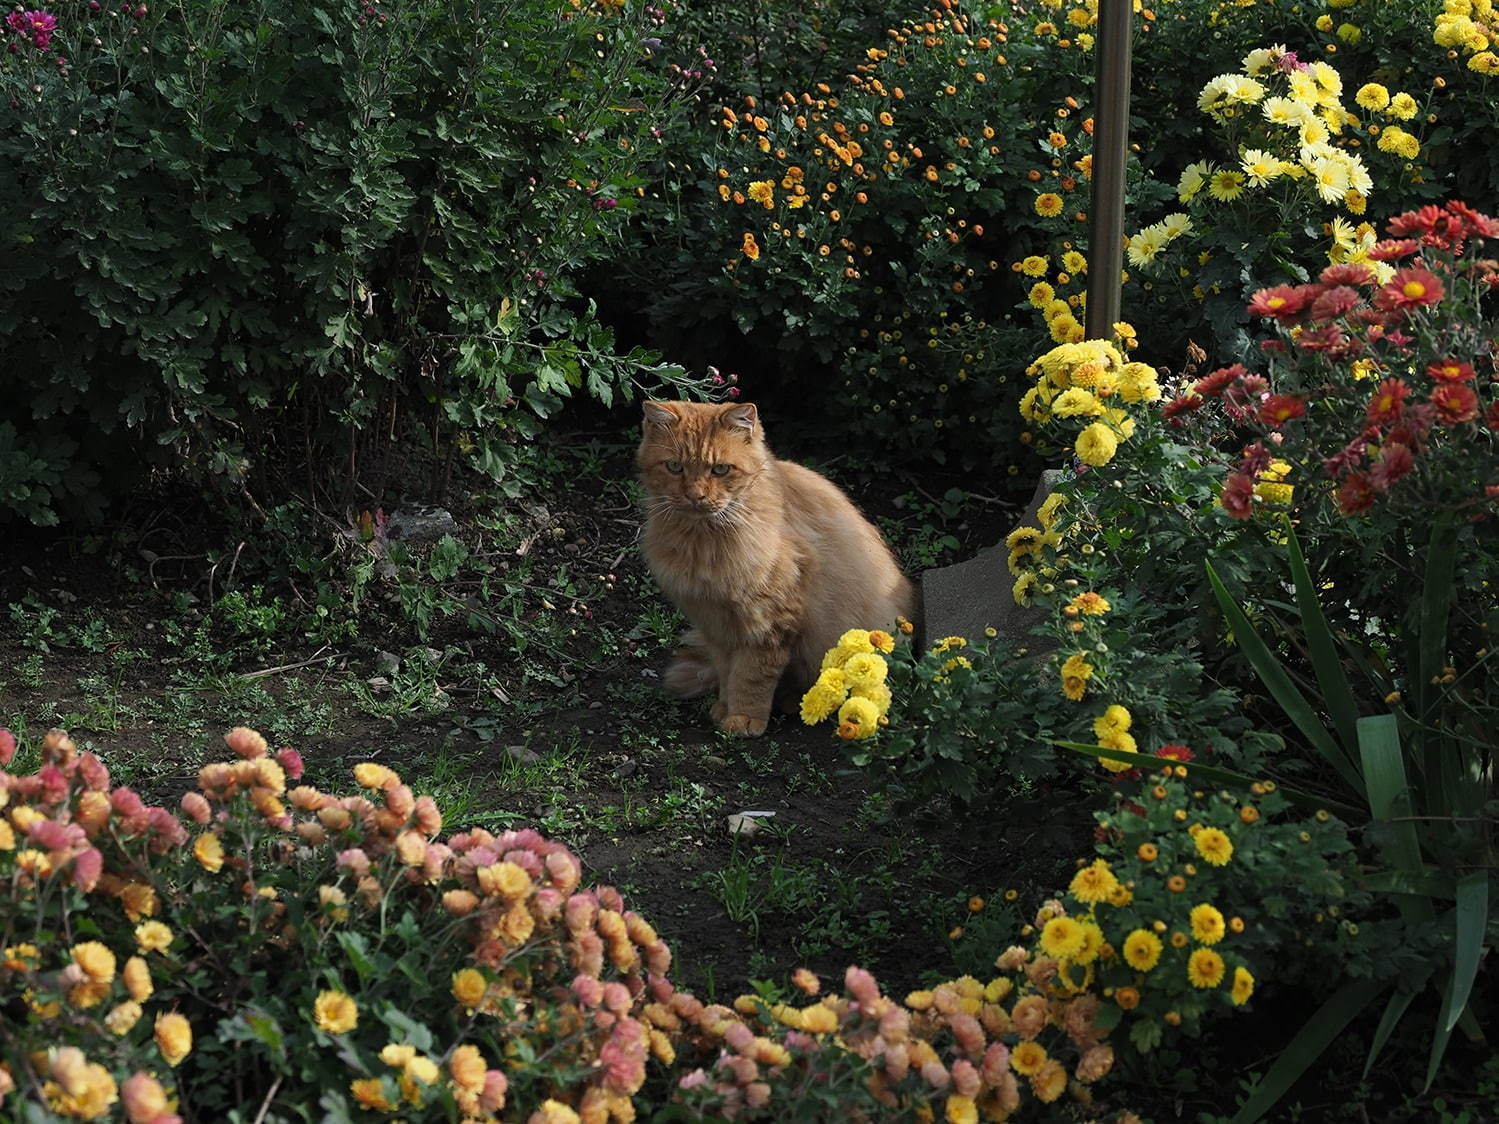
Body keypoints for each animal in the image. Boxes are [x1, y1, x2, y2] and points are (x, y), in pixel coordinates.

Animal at [635, 401, 911, 740]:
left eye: (720, 469)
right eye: (674, 467)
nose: (696, 496)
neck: (703, 541)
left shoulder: (767, 622)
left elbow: (751, 677)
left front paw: (743, 718)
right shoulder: (716, 624)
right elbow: (728, 673)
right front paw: (724, 707)